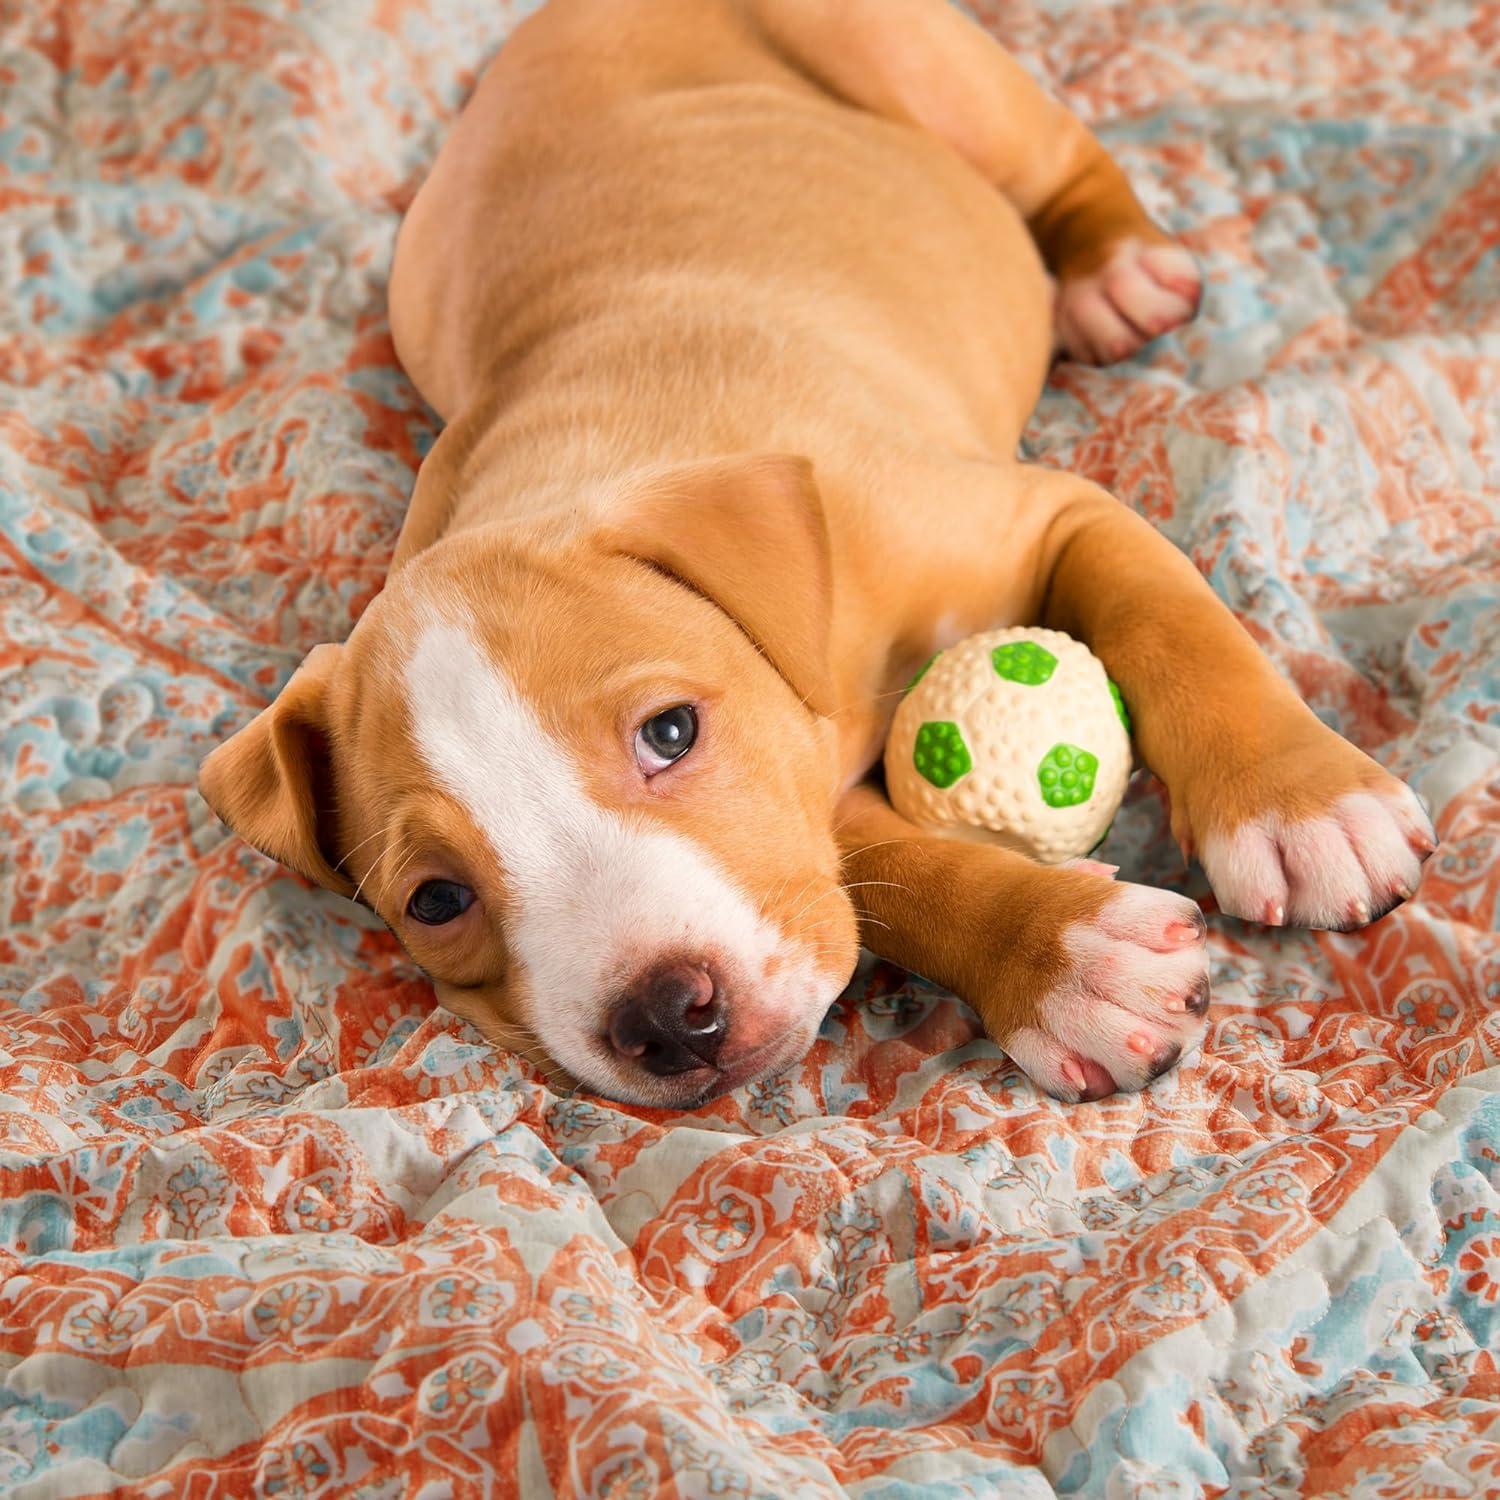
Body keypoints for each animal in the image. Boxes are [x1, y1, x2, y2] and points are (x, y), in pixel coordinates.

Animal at [196, 0, 1428, 1110]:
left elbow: (1177, 630)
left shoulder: (1055, 515)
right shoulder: (810, 804)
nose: (665, 1018)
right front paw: (1065, 958)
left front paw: (1301, 808)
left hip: (911, 60)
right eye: (436, 902)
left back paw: (1115, 272)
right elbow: (902, 878)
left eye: (670, 733)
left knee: (1051, 158)